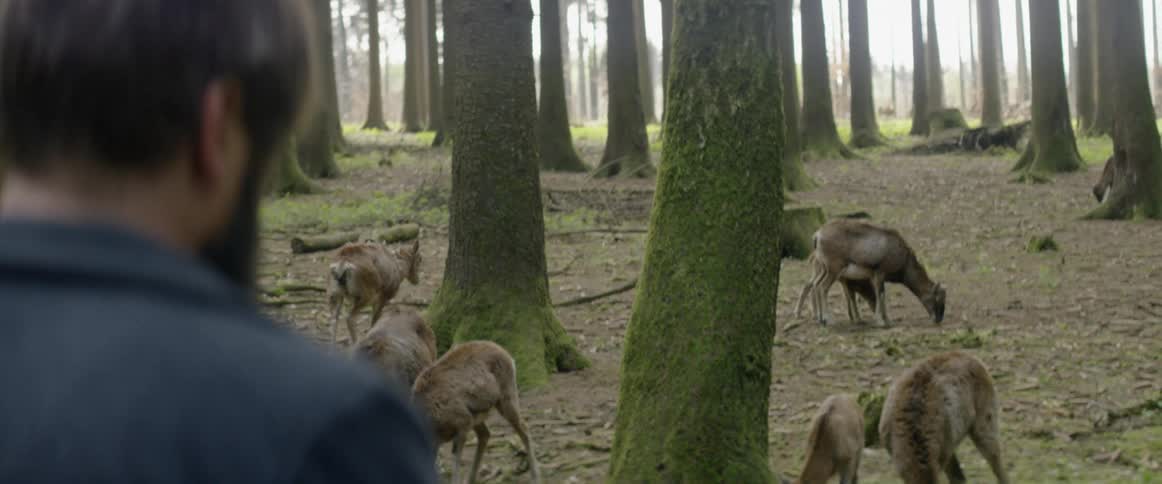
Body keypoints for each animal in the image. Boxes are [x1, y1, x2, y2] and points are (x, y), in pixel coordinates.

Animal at [411, 341, 541, 484]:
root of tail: (506, 354)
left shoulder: (463, 424)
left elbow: (456, 459)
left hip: (506, 399)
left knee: (523, 428)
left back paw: (536, 476)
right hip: (478, 417)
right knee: (485, 435)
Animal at [808, 220, 945, 327]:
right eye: (936, 298)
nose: (938, 319)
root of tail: (817, 236)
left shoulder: (875, 277)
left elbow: (880, 295)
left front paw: (887, 321)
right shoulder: (880, 273)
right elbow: (881, 294)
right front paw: (882, 322)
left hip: (825, 270)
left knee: (816, 285)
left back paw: (821, 320)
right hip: (833, 271)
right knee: (822, 287)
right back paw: (829, 320)